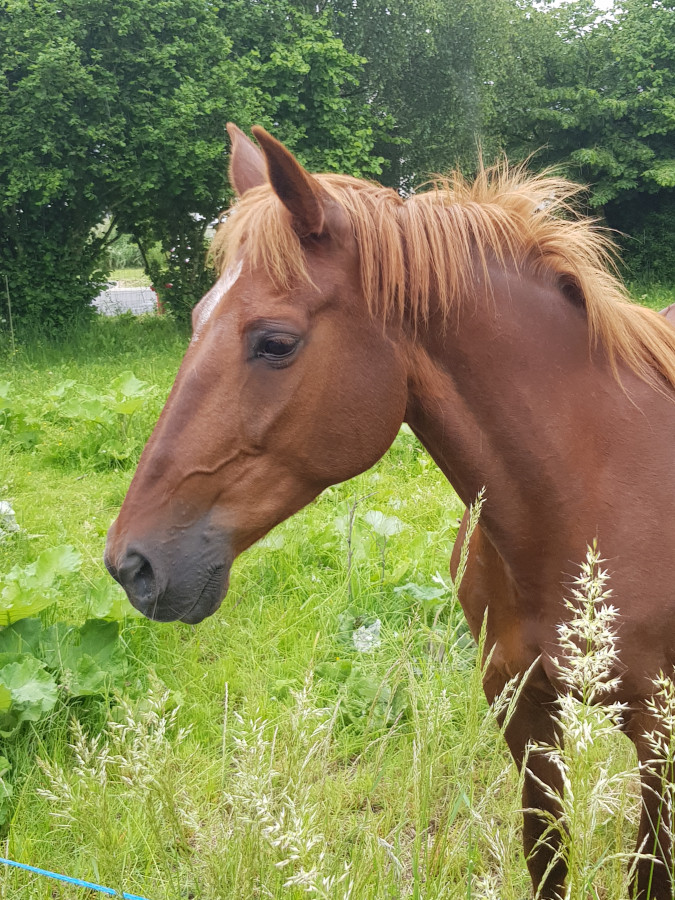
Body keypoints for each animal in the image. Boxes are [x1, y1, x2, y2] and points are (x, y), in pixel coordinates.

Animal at [105, 123, 675, 896]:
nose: (132, 564)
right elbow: (547, 858)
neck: (592, 493)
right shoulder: (522, 711)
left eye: (275, 342)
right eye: (194, 319)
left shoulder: (659, 736)